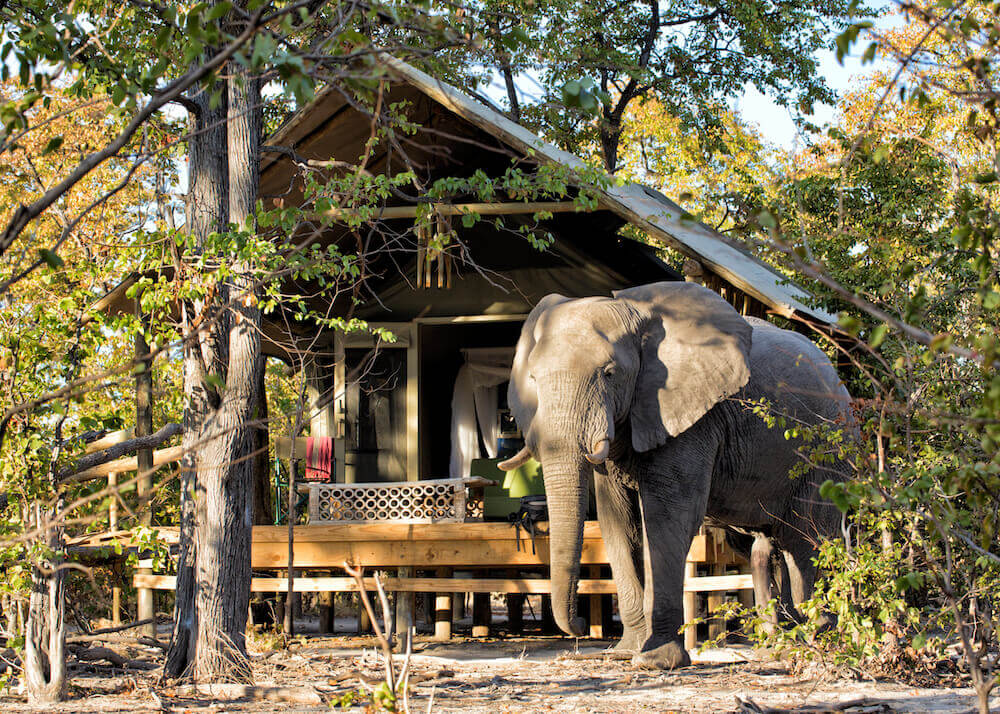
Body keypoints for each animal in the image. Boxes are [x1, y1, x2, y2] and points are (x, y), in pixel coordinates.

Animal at [498, 281, 853, 669]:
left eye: (610, 373)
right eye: (533, 379)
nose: (577, 626)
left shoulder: (692, 418)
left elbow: (668, 516)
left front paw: (656, 661)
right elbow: (616, 519)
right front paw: (627, 652)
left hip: (828, 453)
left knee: (807, 538)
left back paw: (821, 639)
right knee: (773, 543)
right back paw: (784, 645)